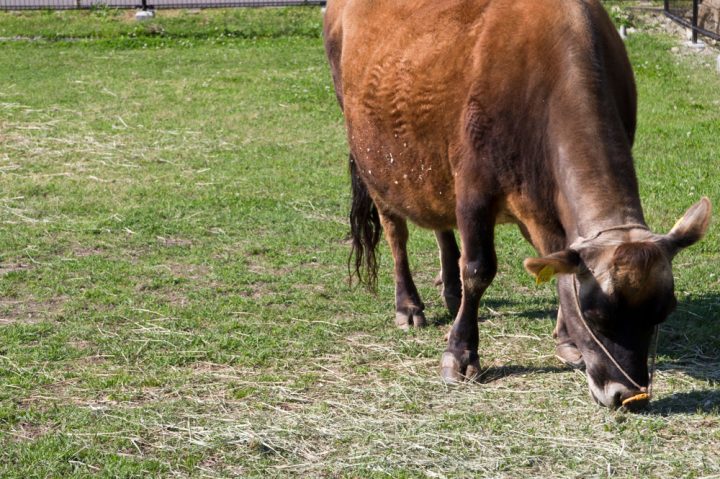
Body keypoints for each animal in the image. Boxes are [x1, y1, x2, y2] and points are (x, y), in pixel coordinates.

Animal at [324, 0, 712, 410]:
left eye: (664, 312)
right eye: (595, 316)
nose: (629, 395)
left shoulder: (546, 204)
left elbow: (558, 265)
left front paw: (567, 340)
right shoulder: (473, 188)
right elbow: (478, 269)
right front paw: (460, 354)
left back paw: (450, 291)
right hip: (374, 160)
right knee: (396, 231)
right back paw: (409, 305)